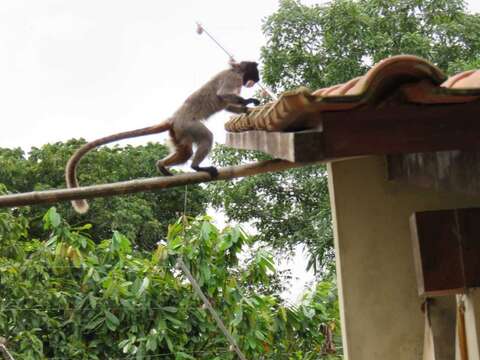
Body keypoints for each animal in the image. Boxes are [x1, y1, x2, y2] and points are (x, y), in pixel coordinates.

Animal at [65, 61, 260, 214]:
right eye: (256, 72)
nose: (257, 79)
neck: (235, 69)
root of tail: (173, 119)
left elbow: (226, 104)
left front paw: (246, 108)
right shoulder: (233, 77)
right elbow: (222, 96)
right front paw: (249, 102)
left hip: (178, 132)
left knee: (185, 152)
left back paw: (162, 166)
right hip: (187, 126)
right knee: (204, 139)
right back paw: (197, 167)